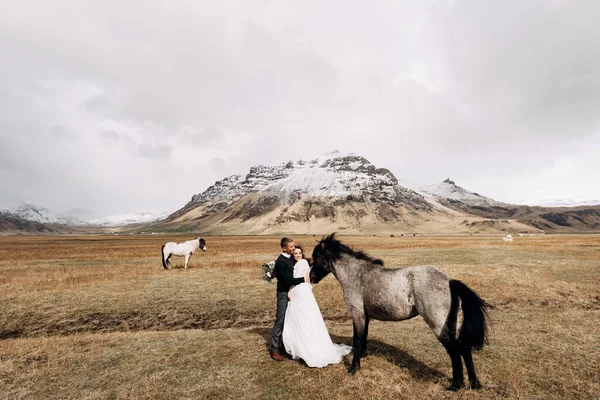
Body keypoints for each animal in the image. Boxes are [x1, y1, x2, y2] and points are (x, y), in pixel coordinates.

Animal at [312, 233, 490, 392]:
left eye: (316, 257)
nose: (312, 277)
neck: (357, 275)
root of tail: (448, 281)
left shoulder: (357, 314)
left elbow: (356, 339)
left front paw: (354, 368)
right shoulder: (365, 316)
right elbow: (364, 337)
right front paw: (363, 356)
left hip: (438, 325)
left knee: (454, 350)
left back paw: (456, 385)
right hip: (451, 323)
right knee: (464, 349)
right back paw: (474, 384)